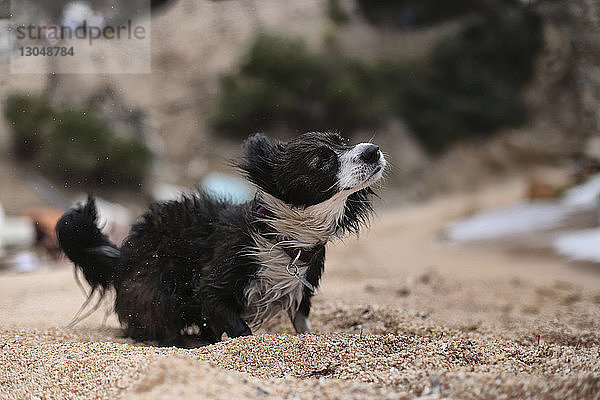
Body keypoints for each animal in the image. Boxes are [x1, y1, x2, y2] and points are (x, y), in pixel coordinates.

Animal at [55, 133, 384, 346]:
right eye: (322, 160)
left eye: (342, 141)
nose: (373, 150)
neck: (281, 235)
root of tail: (121, 258)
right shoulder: (214, 288)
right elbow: (240, 329)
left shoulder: (302, 293)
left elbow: (303, 326)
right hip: (160, 288)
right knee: (162, 328)